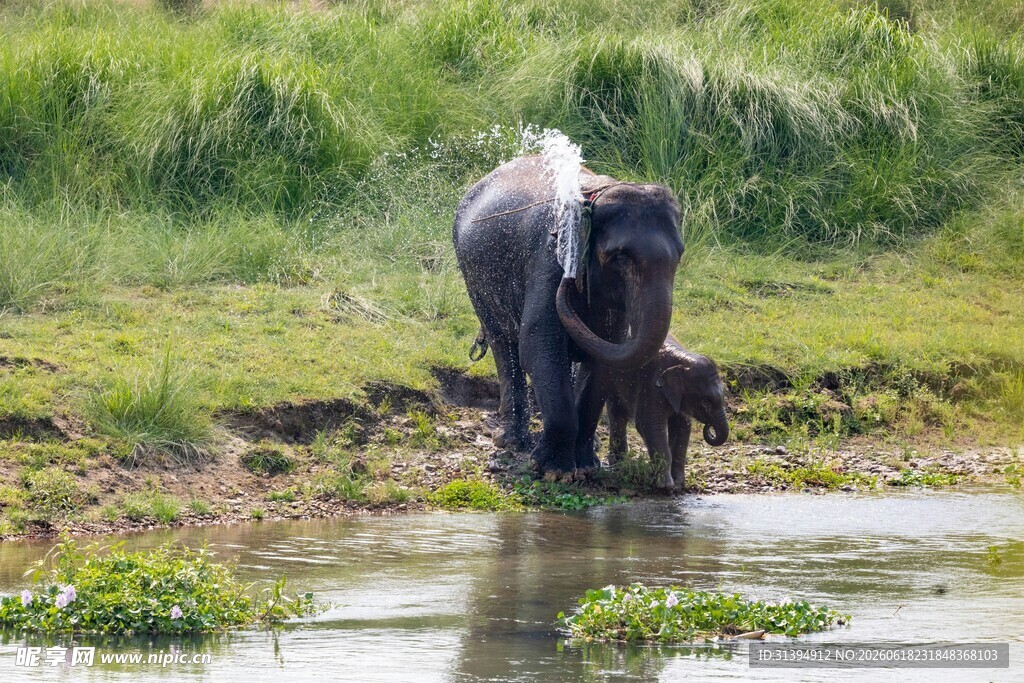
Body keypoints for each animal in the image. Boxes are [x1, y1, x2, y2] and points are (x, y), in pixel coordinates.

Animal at [453, 156, 683, 477]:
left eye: (679, 256)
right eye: (619, 257)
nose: (571, 280)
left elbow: (603, 362)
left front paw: (585, 466)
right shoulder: (549, 259)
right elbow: (539, 346)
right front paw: (555, 471)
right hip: (474, 278)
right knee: (503, 345)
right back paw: (512, 442)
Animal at [582, 334, 728, 490]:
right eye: (706, 402)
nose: (709, 426)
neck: (681, 361)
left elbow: (683, 426)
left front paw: (679, 484)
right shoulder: (651, 384)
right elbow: (650, 424)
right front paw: (665, 486)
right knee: (618, 415)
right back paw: (618, 463)